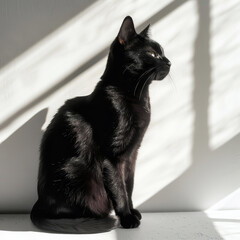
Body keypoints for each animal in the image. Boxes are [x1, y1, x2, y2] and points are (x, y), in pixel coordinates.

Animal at [30, 15, 171, 232]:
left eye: (162, 52)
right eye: (152, 53)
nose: (169, 62)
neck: (138, 97)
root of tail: (39, 203)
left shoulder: (132, 154)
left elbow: (129, 185)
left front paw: (132, 211)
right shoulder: (112, 157)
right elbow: (119, 189)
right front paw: (127, 218)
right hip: (75, 172)